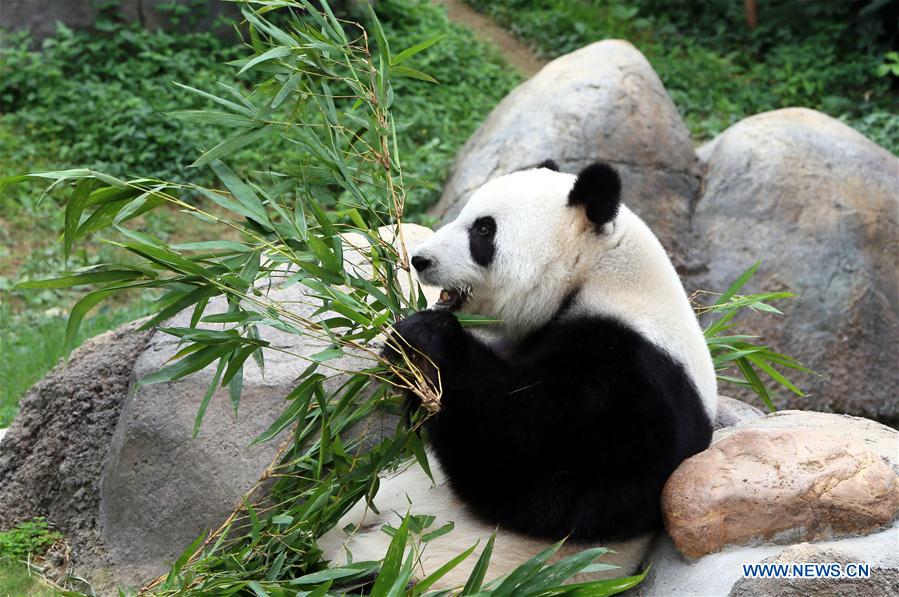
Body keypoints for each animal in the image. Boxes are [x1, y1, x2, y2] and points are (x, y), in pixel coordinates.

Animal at [318, 161, 716, 588]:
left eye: (483, 229)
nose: (420, 260)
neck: (599, 276)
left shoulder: (640, 383)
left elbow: (546, 478)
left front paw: (424, 339)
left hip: (426, 570)